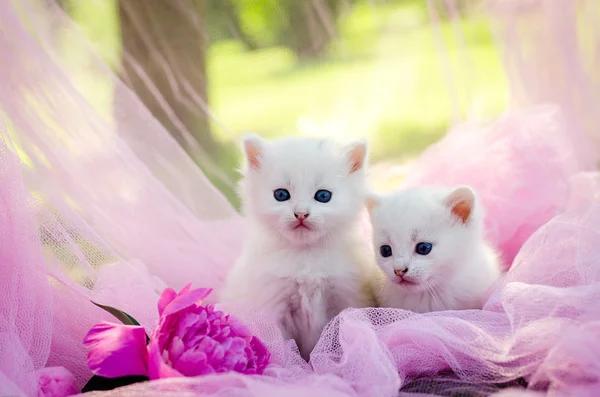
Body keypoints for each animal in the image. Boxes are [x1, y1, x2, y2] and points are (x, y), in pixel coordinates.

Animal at [220, 134, 378, 358]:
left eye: (323, 196)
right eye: (281, 195)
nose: (301, 214)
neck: (306, 256)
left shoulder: (347, 298)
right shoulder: (273, 306)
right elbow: (283, 346)